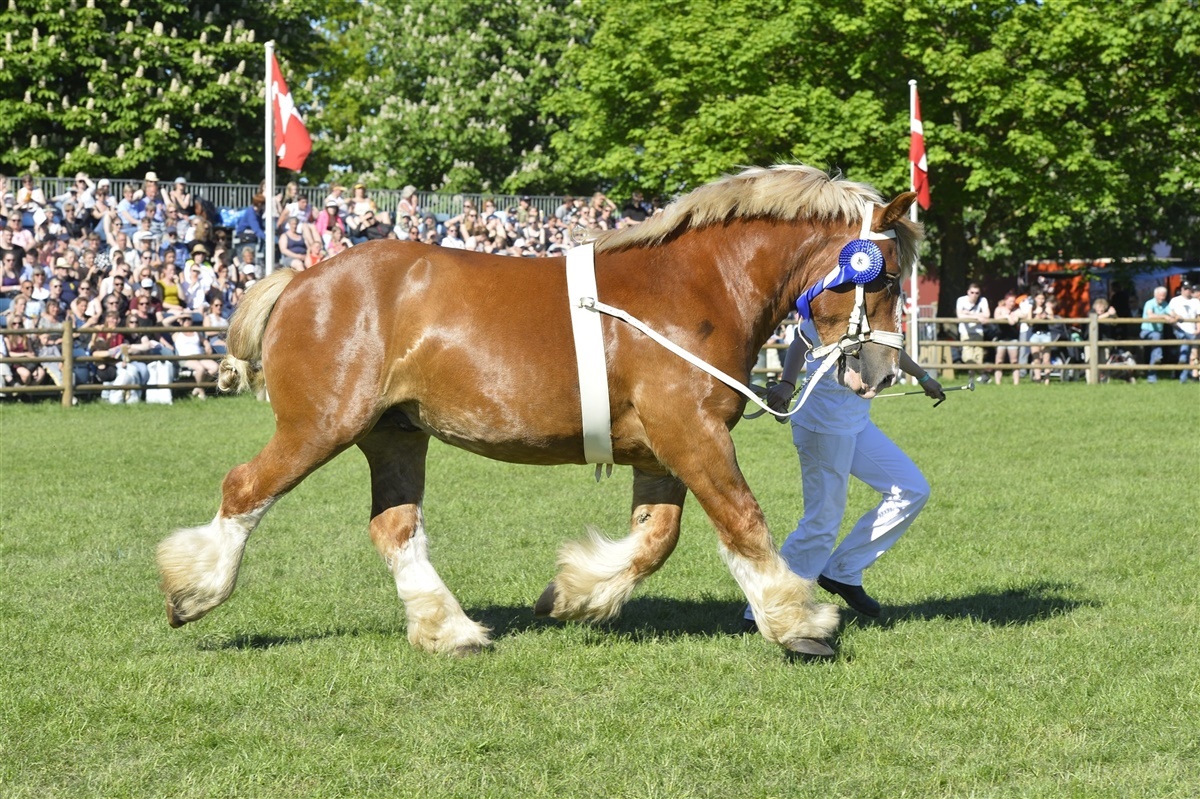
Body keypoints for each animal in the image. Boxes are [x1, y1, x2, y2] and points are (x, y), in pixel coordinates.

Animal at [157, 165, 920, 657]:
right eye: (882, 276)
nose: (882, 370)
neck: (695, 286)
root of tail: (298, 279)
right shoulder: (692, 433)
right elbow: (743, 522)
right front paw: (801, 625)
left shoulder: (662, 448)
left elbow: (655, 539)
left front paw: (573, 593)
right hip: (319, 428)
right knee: (244, 489)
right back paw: (194, 591)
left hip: (394, 437)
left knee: (395, 529)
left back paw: (450, 631)